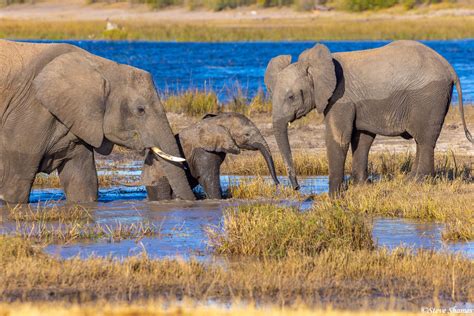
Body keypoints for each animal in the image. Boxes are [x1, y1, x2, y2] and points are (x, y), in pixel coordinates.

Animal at [0, 40, 196, 202]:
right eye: (140, 110)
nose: (191, 201)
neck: (101, 66)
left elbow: (82, 183)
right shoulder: (31, 112)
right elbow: (15, 184)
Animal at [143, 111, 280, 200]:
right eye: (247, 135)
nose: (277, 184)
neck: (217, 121)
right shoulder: (202, 151)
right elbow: (206, 178)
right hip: (157, 177)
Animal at [264, 40, 472, 195]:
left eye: (291, 97)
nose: (296, 187)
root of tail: (450, 67)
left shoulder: (340, 98)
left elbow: (339, 139)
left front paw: (334, 195)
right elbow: (362, 139)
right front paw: (360, 185)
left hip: (429, 96)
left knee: (425, 139)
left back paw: (420, 182)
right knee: (422, 140)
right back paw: (410, 180)